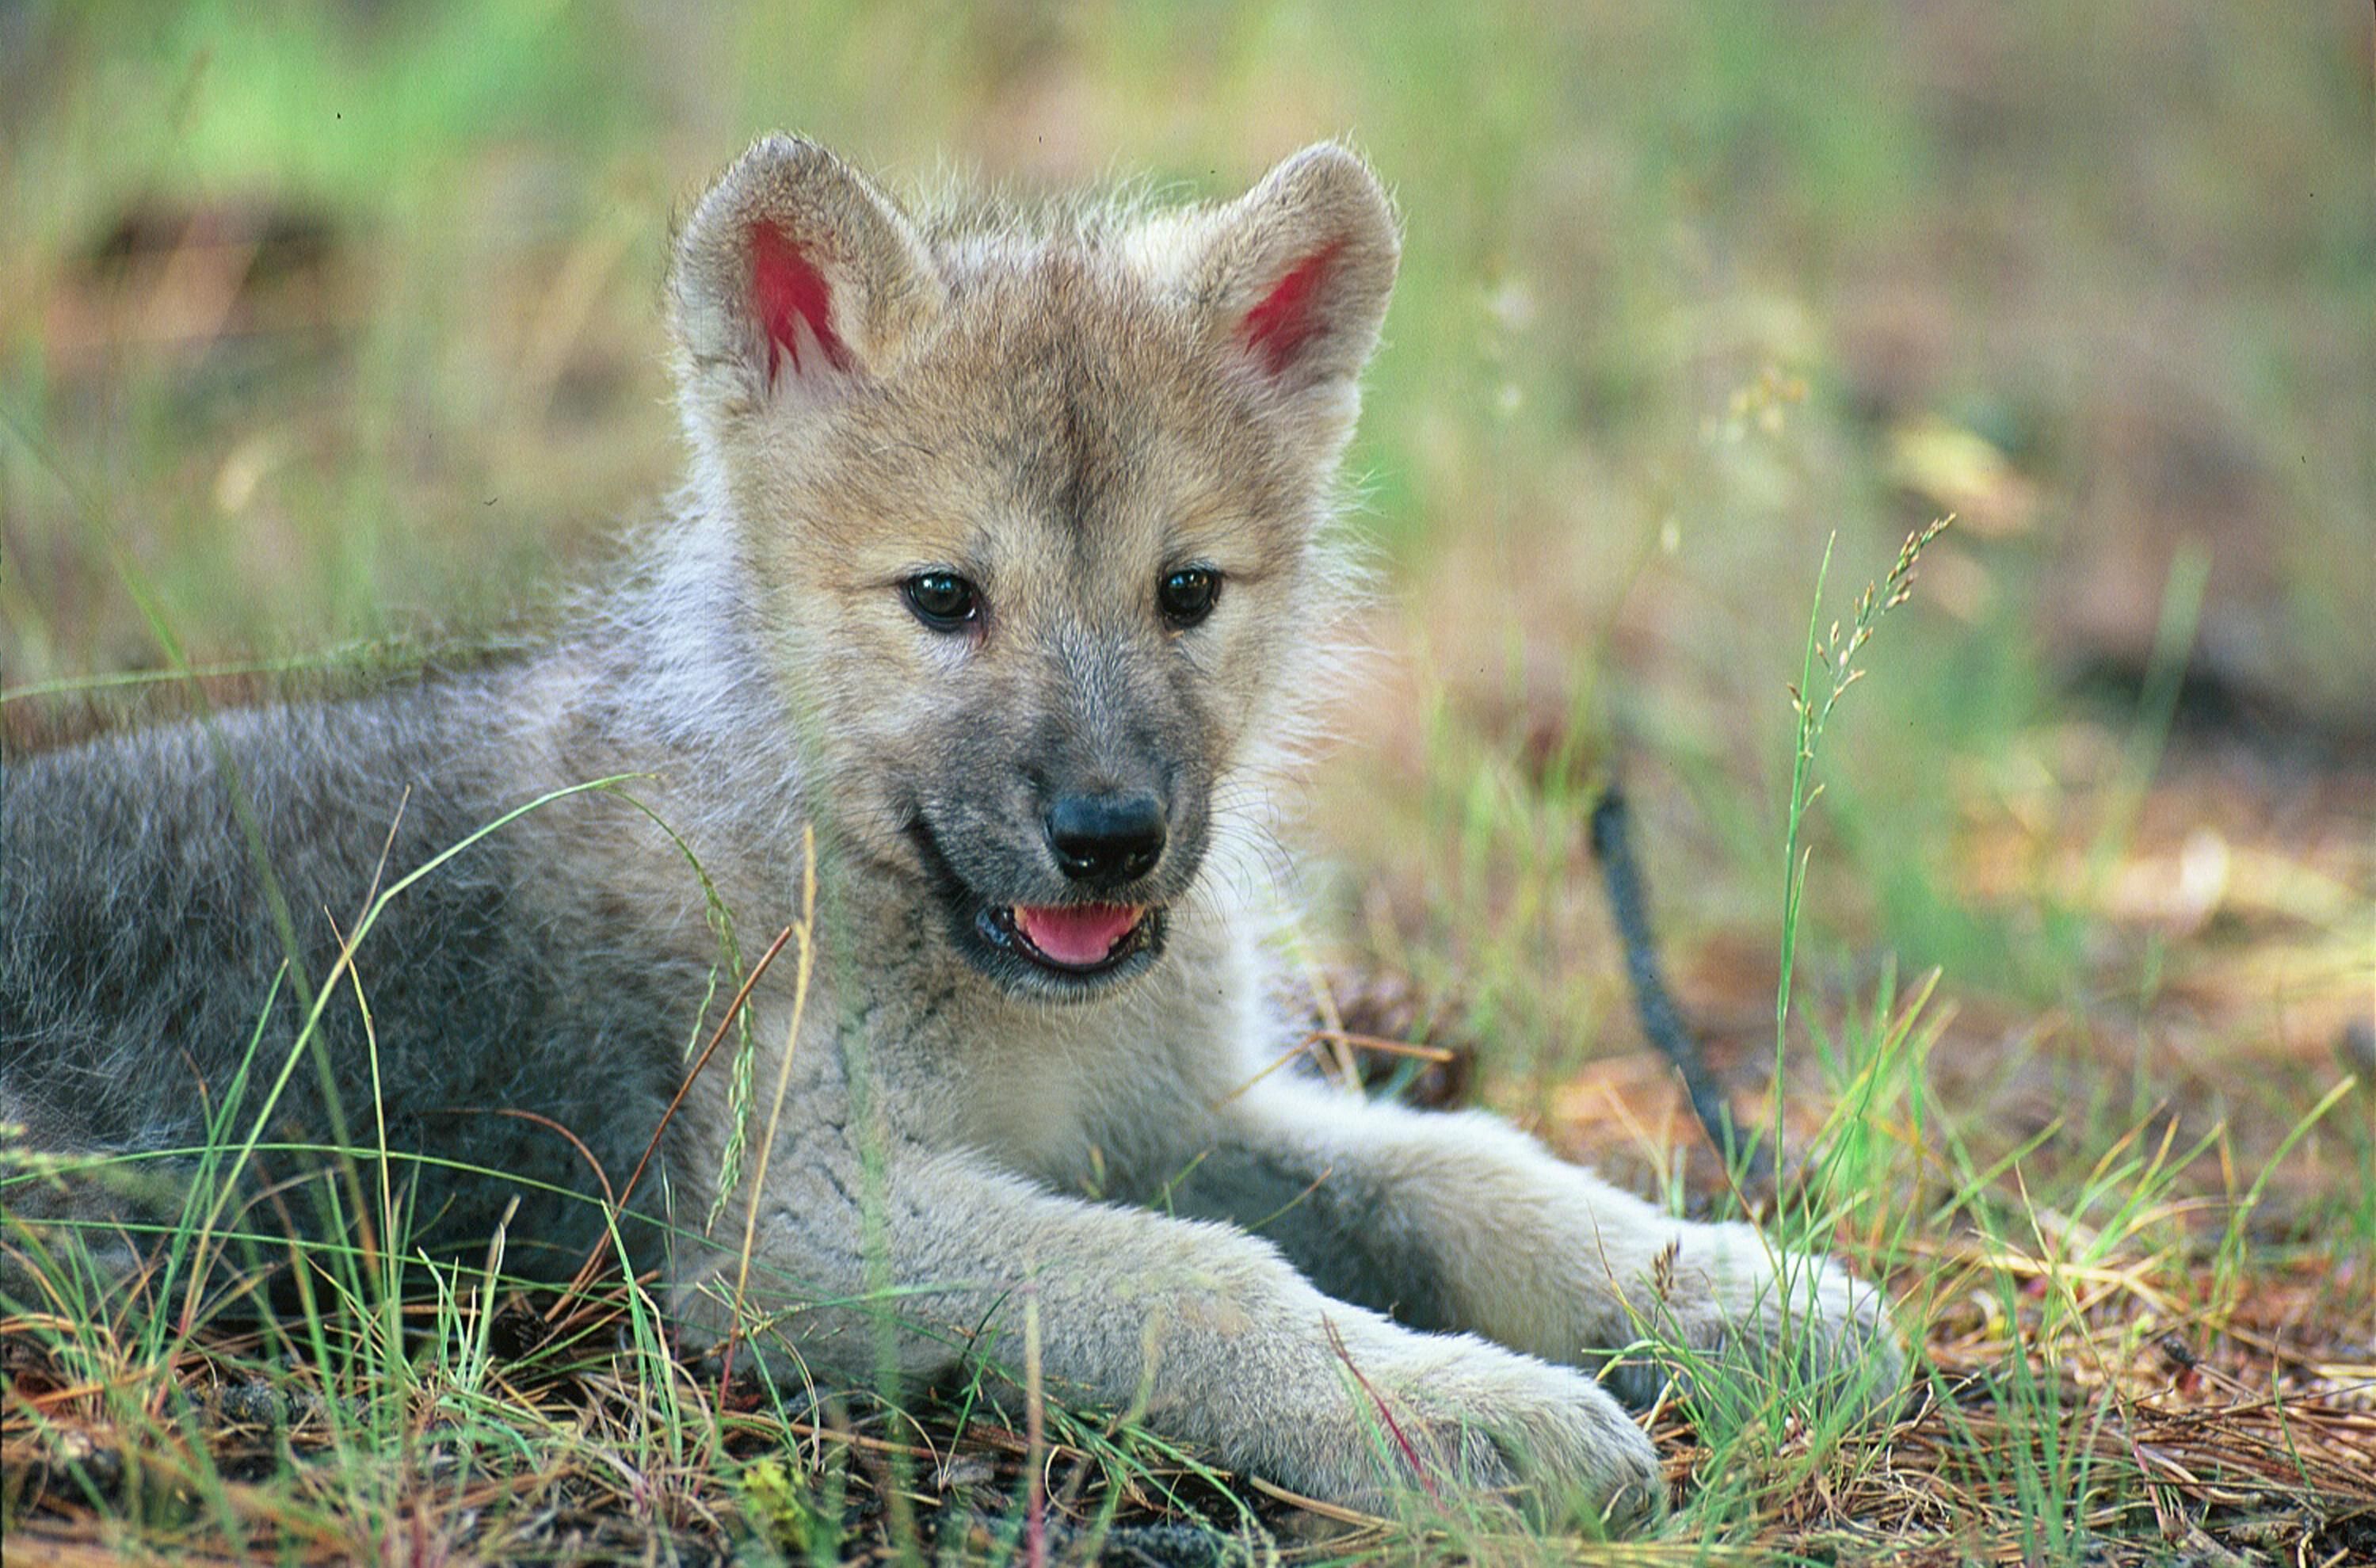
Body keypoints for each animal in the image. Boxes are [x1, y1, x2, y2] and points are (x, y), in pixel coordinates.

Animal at [1, 136, 1899, 1527]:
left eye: (1185, 591)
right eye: (940, 598)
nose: (1108, 834)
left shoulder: (1176, 1108)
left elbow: (1458, 1166)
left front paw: (1722, 1287)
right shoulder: (795, 1221)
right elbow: (1208, 1281)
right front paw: (1462, 1412)